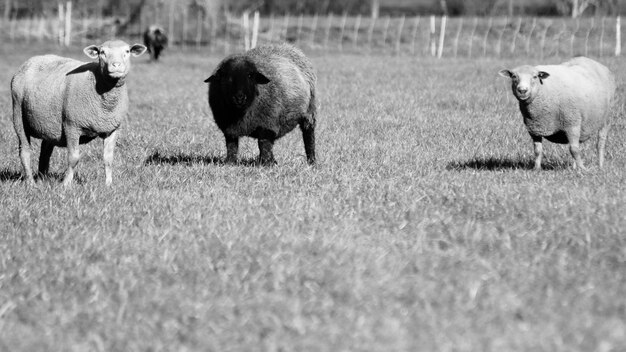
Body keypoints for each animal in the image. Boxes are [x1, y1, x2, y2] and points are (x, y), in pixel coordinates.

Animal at [9, 39, 146, 186]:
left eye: (127, 51)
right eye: (102, 52)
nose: (116, 65)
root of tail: (31, 60)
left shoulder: (112, 128)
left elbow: (108, 158)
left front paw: (108, 184)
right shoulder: (72, 125)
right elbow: (73, 158)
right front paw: (66, 184)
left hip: (50, 123)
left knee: (45, 151)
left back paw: (42, 178)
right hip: (18, 114)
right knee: (24, 151)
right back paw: (31, 182)